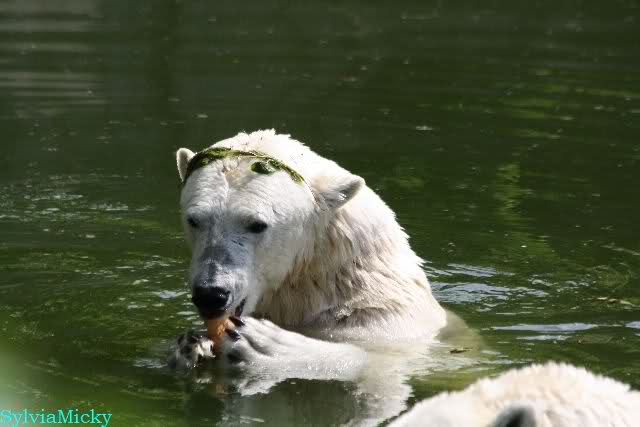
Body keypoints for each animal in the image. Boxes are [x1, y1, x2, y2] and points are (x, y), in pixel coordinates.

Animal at [169, 129, 450, 424]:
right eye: (194, 220)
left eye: (257, 224)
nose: (211, 294)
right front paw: (190, 346)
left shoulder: (388, 322)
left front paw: (265, 345)